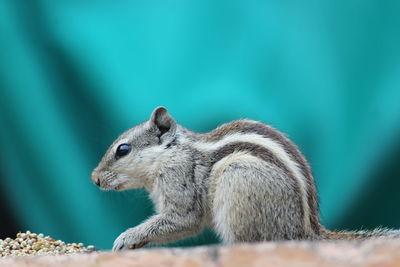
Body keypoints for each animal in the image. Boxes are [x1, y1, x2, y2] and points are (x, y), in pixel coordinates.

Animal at [91, 106, 400, 251]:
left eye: (123, 150)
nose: (94, 178)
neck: (171, 153)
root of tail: (305, 232)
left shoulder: (179, 183)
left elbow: (182, 219)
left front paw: (127, 237)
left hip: (238, 180)